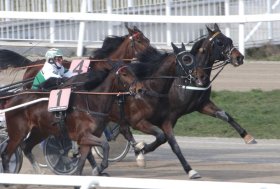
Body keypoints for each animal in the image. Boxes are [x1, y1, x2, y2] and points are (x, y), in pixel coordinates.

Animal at [1, 61, 143, 176]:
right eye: (124, 74)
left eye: (133, 72)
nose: (140, 89)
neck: (91, 103)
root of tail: (12, 99)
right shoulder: (83, 136)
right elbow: (105, 145)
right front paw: (100, 167)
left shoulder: (87, 139)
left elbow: (84, 160)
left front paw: (95, 170)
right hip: (18, 133)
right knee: (6, 155)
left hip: (40, 131)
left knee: (26, 147)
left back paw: (39, 172)